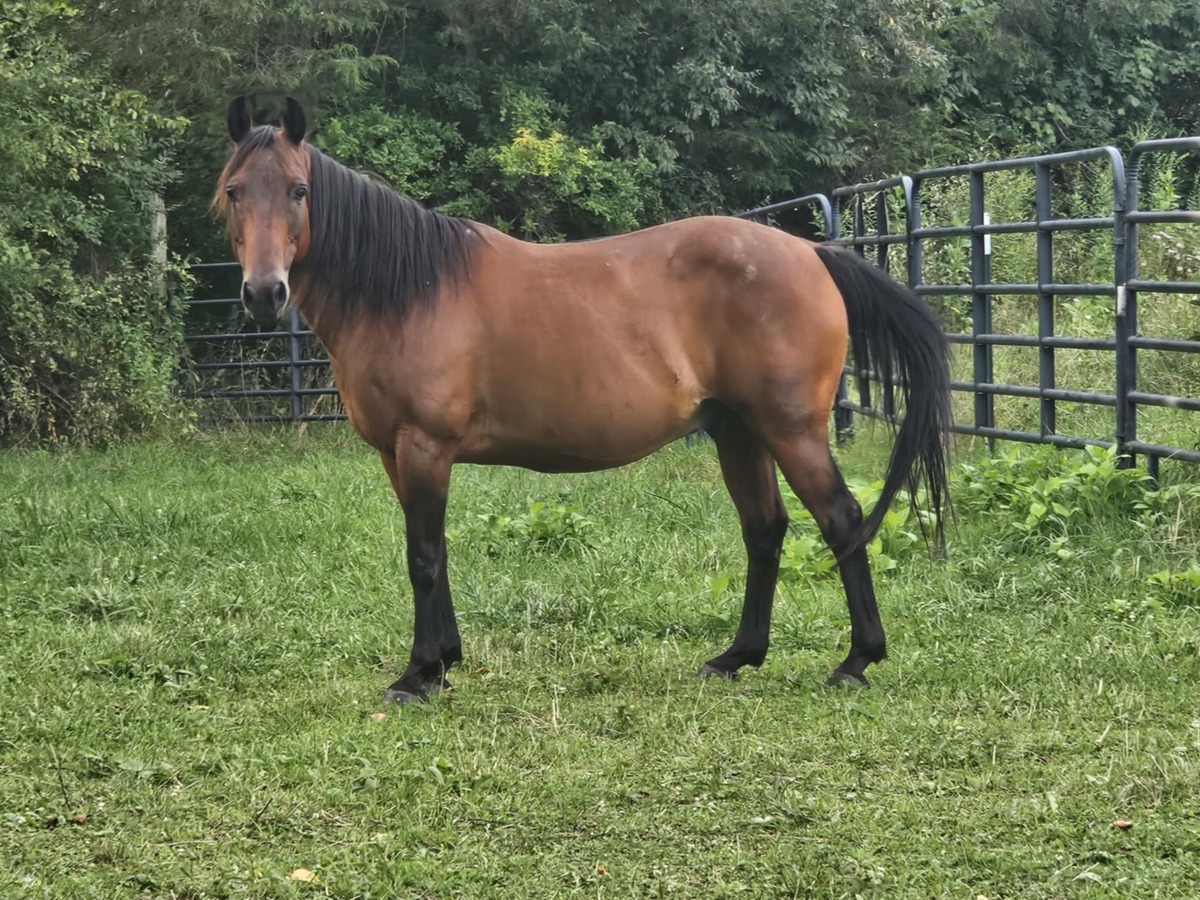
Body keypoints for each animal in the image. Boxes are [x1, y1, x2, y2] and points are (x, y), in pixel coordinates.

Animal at [214, 96, 952, 704]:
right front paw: (445, 660)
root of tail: (810, 252)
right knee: (765, 530)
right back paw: (736, 657)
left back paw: (856, 661)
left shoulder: (424, 446)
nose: (264, 292)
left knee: (840, 518)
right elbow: (435, 550)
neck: (408, 292)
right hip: (738, 431)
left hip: (789, 429)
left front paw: (418, 675)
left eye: (300, 190)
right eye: (233, 192)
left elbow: (422, 556)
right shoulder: (399, 456)